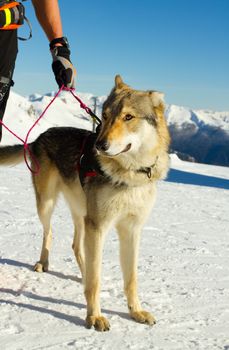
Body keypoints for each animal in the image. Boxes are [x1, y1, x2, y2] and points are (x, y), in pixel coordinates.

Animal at [0, 76, 170, 330]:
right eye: (106, 115)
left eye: (128, 117)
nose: (99, 144)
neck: (130, 175)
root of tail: (37, 138)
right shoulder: (98, 226)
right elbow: (96, 281)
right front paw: (94, 316)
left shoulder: (131, 230)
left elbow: (131, 279)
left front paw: (136, 312)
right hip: (48, 205)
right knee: (49, 234)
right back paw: (43, 263)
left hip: (81, 214)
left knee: (77, 246)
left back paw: (81, 273)